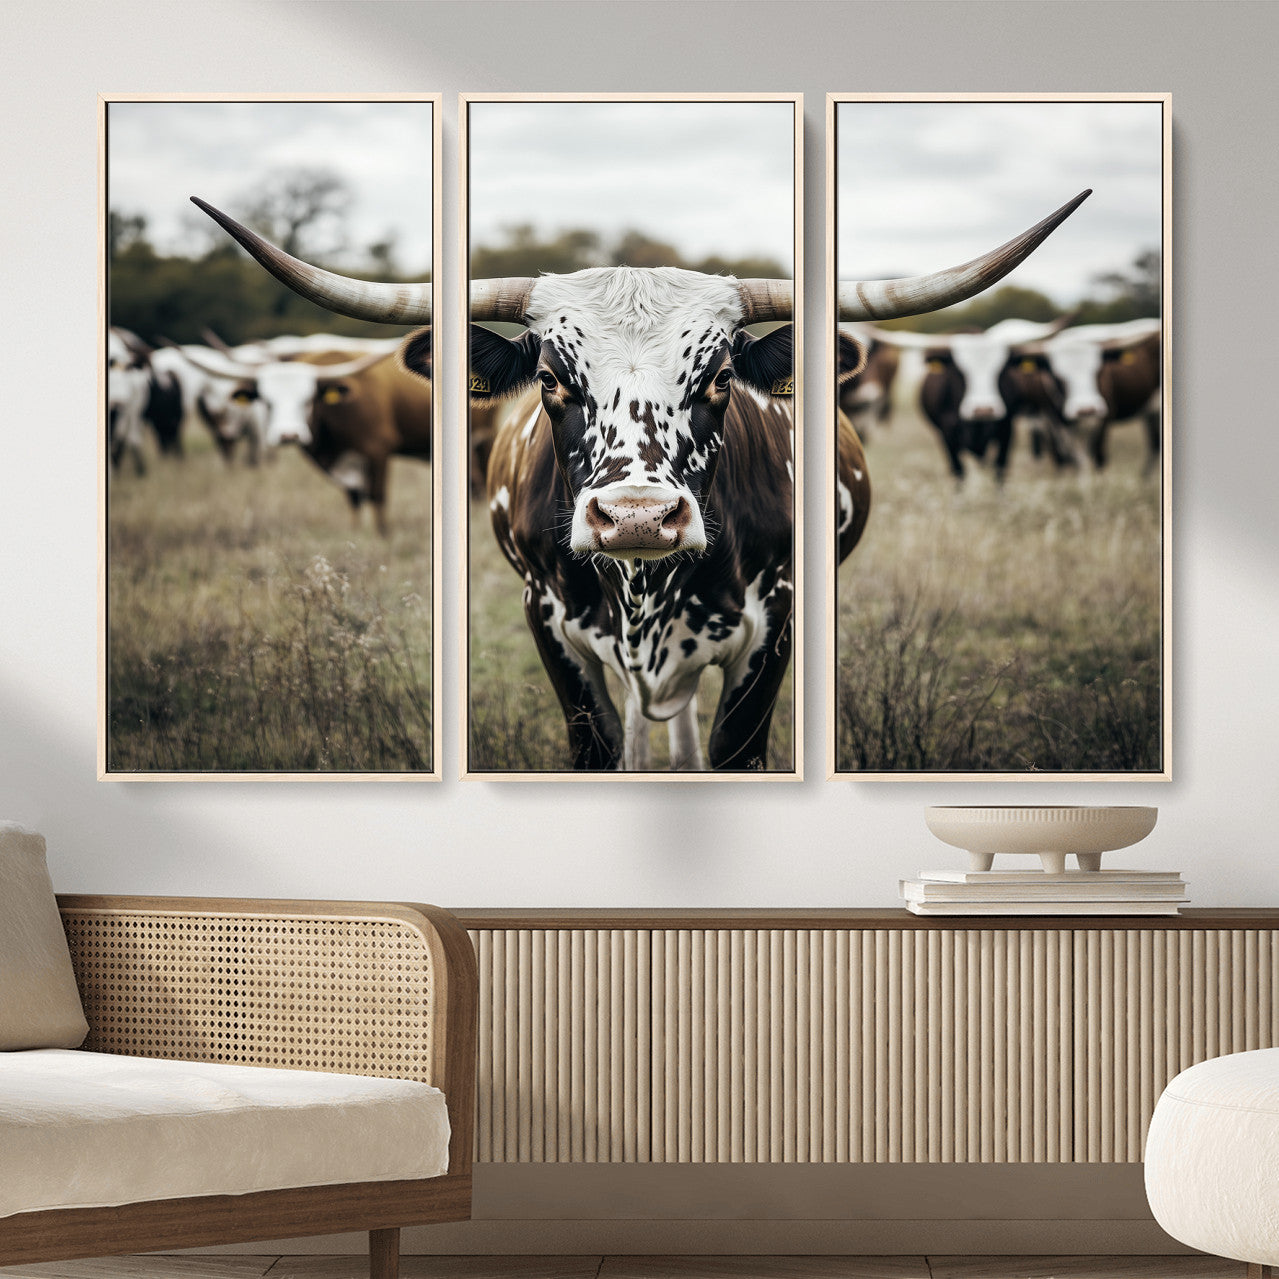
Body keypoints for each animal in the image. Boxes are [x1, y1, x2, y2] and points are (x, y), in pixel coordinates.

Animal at [192, 188, 1089, 770]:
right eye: (550, 377)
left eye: (720, 375)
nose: (634, 519)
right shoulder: (549, 622)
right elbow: (596, 745)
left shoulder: (775, 626)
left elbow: (730, 750)